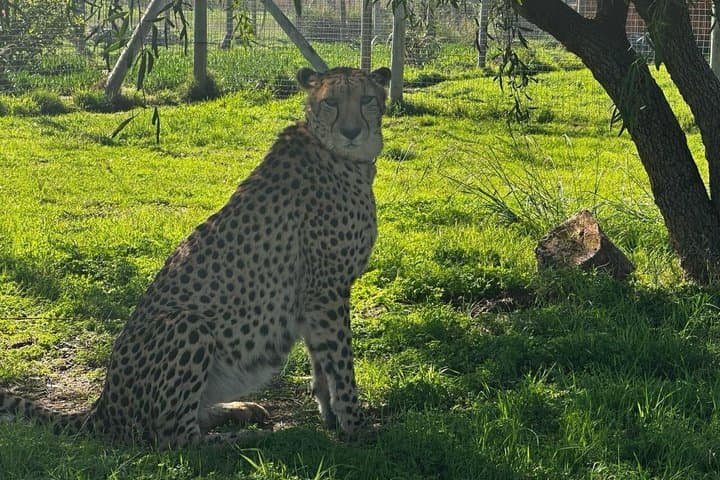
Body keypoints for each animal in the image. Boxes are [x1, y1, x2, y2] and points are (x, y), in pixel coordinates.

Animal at [0, 66, 392, 448]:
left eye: (367, 99)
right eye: (330, 103)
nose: (351, 132)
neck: (342, 156)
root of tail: (103, 406)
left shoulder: (315, 295)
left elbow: (322, 362)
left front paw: (333, 418)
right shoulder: (327, 289)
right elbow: (341, 364)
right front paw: (358, 427)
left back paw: (240, 411)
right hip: (189, 324)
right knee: (175, 437)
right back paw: (246, 439)